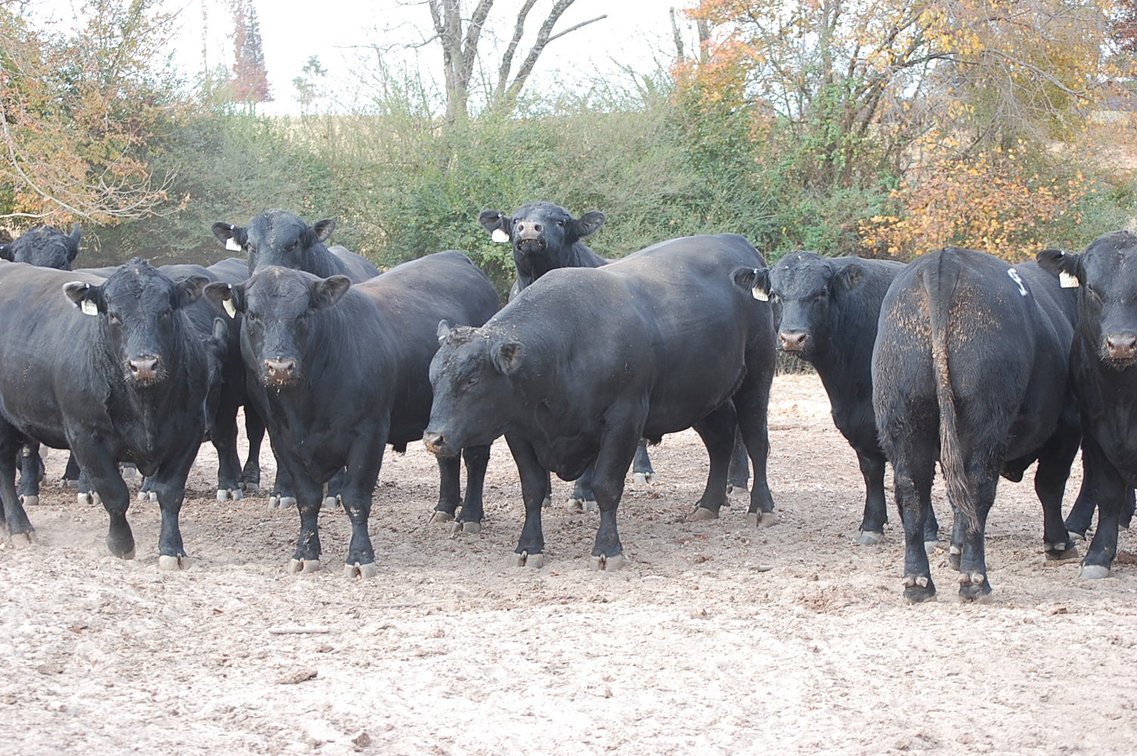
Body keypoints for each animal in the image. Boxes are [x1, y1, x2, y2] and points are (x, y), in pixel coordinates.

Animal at [0, 260, 211, 568]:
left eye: (166, 311)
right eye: (112, 315)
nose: (144, 365)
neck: (145, 407)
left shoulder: (190, 431)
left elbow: (170, 493)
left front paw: (173, 550)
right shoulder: (85, 435)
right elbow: (114, 493)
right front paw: (121, 544)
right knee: (4, 471)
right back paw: (20, 528)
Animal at [204, 251, 499, 576]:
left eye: (304, 314)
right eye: (253, 315)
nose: (280, 367)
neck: (305, 405)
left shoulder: (368, 433)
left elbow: (356, 499)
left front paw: (360, 557)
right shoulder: (282, 437)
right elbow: (307, 500)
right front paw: (305, 553)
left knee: (476, 458)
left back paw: (469, 515)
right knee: (446, 456)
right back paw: (444, 508)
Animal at [423, 233, 778, 570]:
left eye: (471, 380)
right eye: (433, 378)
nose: (433, 438)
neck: (564, 349)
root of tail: (736, 243)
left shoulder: (624, 419)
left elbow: (606, 486)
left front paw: (607, 549)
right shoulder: (519, 430)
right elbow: (533, 490)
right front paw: (528, 547)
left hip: (758, 373)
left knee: (756, 440)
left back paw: (761, 507)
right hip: (701, 394)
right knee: (720, 439)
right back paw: (708, 504)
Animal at [746, 251, 939, 547]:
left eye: (821, 293)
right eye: (775, 294)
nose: (792, 338)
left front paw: (927, 531)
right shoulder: (855, 419)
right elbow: (871, 470)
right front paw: (872, 525)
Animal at [872, 248, 1079, 602]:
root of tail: (944, 262)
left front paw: (954, 551)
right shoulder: (1068, 426)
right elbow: (1050, 485)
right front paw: (1059, 543)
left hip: (904, 416)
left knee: (912, 490)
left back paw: (918, 582)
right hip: (984, 417)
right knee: (977, 485)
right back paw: (974, 579)